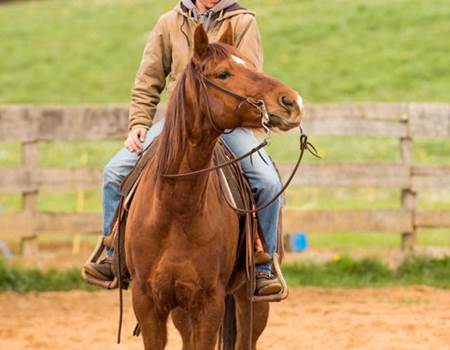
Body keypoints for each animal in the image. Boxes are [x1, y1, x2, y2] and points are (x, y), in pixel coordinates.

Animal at [125, 25, 304, 350]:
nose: (292, 101)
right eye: (223, 73)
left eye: (251, 64)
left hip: (252, 302)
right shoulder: (147, 303)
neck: (176, 207)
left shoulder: (209, 304)